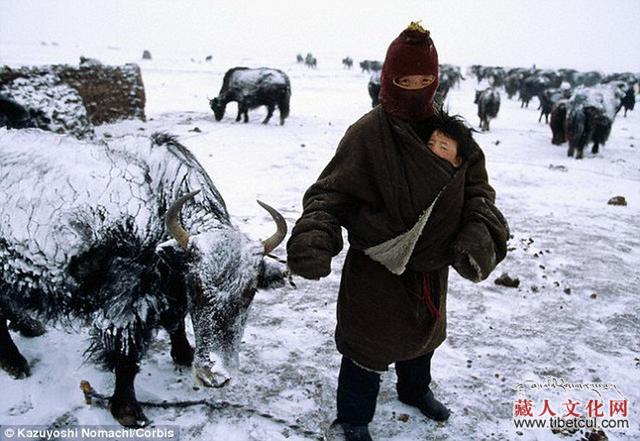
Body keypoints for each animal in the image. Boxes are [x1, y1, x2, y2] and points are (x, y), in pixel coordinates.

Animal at [0, 130, 287, 427]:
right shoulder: (126, 305)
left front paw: (183, 354)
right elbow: (127, 358)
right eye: (196, 287)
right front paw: (127, 411)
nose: (215, 377)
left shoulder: (169, 292)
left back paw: (30, 327)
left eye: (250, 292)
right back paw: (17, 363)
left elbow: (176, 321)